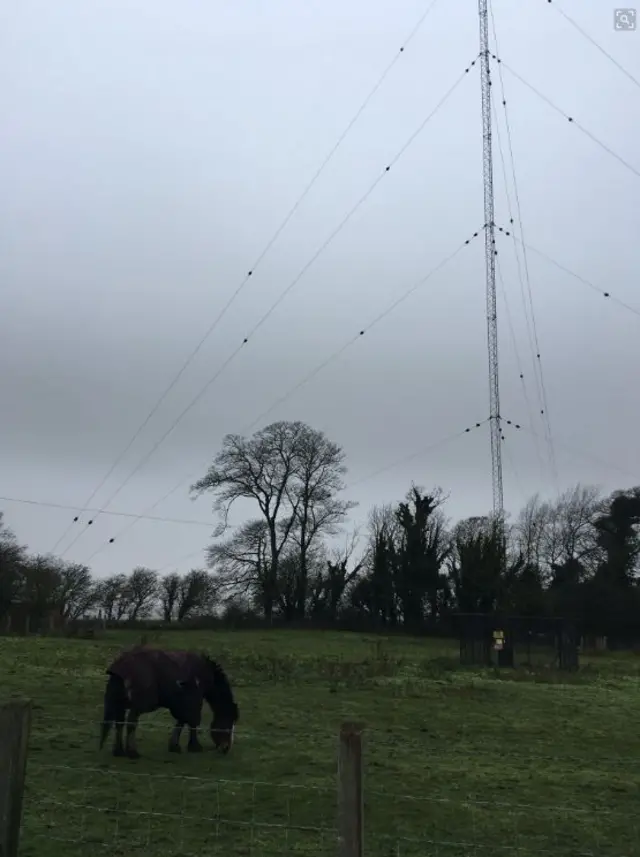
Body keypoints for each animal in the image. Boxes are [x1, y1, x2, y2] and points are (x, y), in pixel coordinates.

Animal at [99, 644, 239, 760]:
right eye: (228, 721)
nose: (226, 748)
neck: (203, 673)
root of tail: (120, 666)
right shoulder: (193, 701)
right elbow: (192, 722)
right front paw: (194, 746)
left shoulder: (181, 703)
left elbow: (182, 721)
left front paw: (175, 746)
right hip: (138, 705)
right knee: (131, 723)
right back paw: (132, 752)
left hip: (120, 705)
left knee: (119, 723)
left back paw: (119, 751)